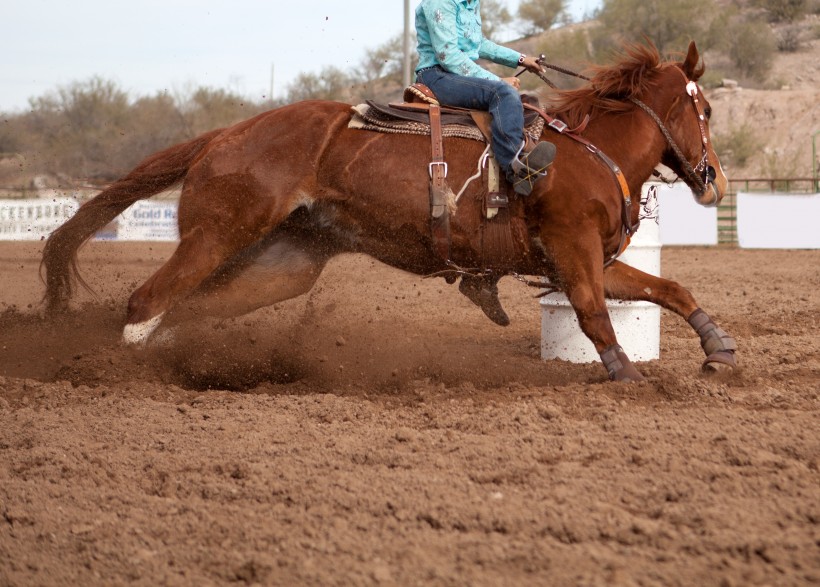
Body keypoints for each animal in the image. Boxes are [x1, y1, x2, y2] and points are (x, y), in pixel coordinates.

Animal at [43, 41, 736, 382]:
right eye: (704, 110)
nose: (716, 182)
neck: (589, 151)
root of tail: (224, 135)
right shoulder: (573, 252)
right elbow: (594, 314)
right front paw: (629, 376)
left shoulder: (588, 258)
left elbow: (669, 289)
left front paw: (717, 349)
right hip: (215, 236)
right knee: (146, 301)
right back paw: (116, 371)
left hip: (282, 263)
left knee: (187, 310)